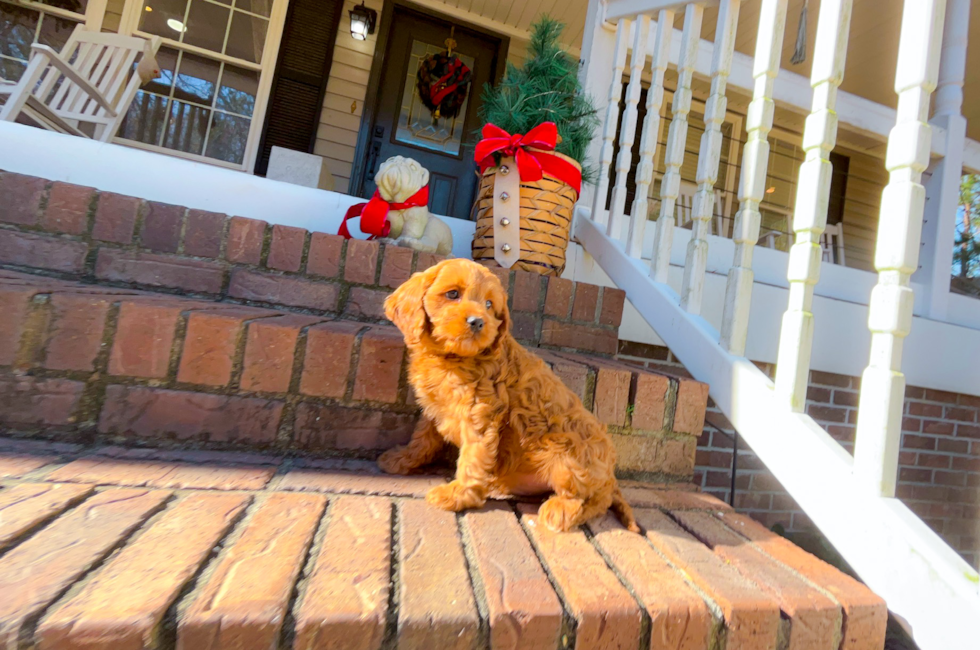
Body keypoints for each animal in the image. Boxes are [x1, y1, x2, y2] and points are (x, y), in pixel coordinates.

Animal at [378, 256, 640, 532]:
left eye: (489, 304)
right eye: (452, 294)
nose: (478, 322)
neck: (453, 358)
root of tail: (611, 477)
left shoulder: (480, 414)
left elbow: (472, 457)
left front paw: (458, 494)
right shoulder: (435, 409)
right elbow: (422, 439)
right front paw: (401, 459)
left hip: (569, 455)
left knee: (593, 500)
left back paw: (559, 511)